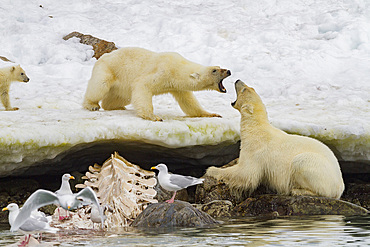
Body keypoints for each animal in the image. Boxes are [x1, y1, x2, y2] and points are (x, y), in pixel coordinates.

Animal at [82, 47, 230, 120]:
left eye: (219, 66)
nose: (228, 71)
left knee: (120, 98)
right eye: (214, 70)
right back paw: (92, 105)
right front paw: (154, 117)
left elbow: (188, 102)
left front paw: (212, 114)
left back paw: (119, 107)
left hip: (121, 87)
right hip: (108, 69)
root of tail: (103, 56)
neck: (177, 68)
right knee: (100, 86)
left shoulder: (177, 86)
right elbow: (142, 85)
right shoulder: (162, 71)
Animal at [207, 80, 346, 200]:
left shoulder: (256, 151)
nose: (237, 80)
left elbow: (246, 174)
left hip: (317, 170)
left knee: (302, 164)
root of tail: (340, 186)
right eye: (251, 87)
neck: (256, 128)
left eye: (244, 89)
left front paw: (212, 169)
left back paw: (297, 190)